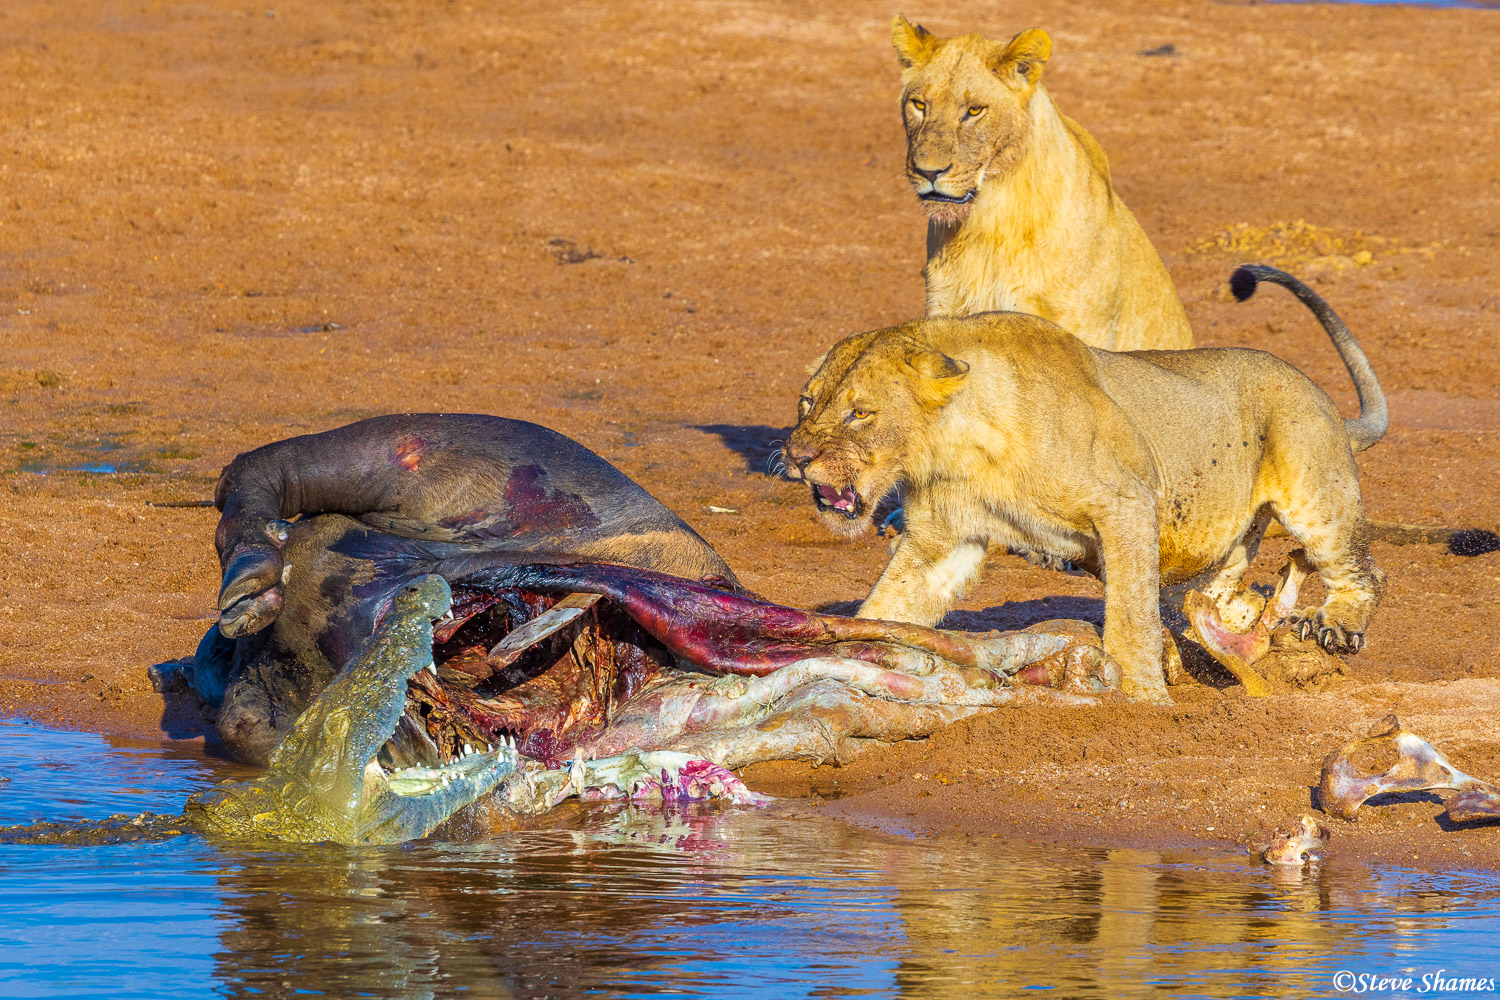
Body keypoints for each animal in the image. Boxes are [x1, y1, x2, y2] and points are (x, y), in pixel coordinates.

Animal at [786, 265, 1380, 704]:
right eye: (807, 402)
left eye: (860, 413)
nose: (796, 456)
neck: (961, 446)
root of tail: (1319, 393)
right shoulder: (942, 540)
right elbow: (892, 603)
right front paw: (844, 652)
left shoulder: (1127, 502)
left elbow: (1130, 617)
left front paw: (1145, 700)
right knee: (1223, 586)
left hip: (1315, 490)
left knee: (1361, 569)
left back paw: (1335, 626)